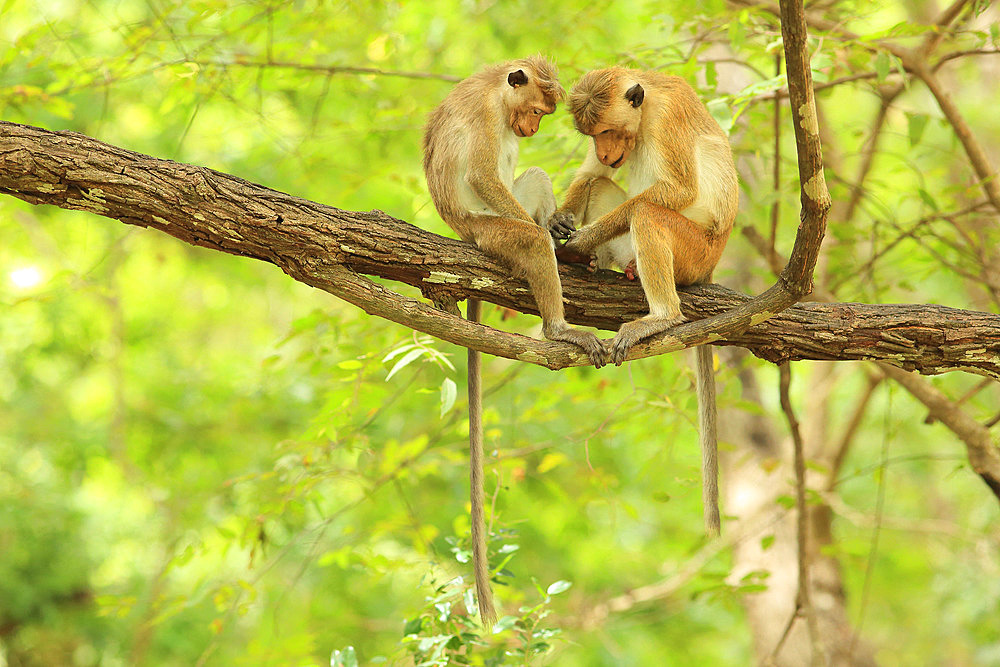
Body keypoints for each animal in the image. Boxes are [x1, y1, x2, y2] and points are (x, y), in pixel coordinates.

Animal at [420, 56, 604, 628]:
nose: (532, 129)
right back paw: (557, 320)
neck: (499, 96)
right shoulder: (482, 113)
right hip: (490, 231)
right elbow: (482, 174)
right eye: (538, 110)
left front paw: (564, 224)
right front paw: (549, 237)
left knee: (534, 181)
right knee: (525, 237)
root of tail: (463, 236)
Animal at [560, 68, 740, 536]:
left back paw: (660, 316)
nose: (606, 151)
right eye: (594, 134)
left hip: (693, 253)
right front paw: (559, 222)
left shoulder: (667, 116)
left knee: (647, 214)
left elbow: (676, 190)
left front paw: (577, 240)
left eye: (607, 130)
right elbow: (589, 173)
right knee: (600, 184)